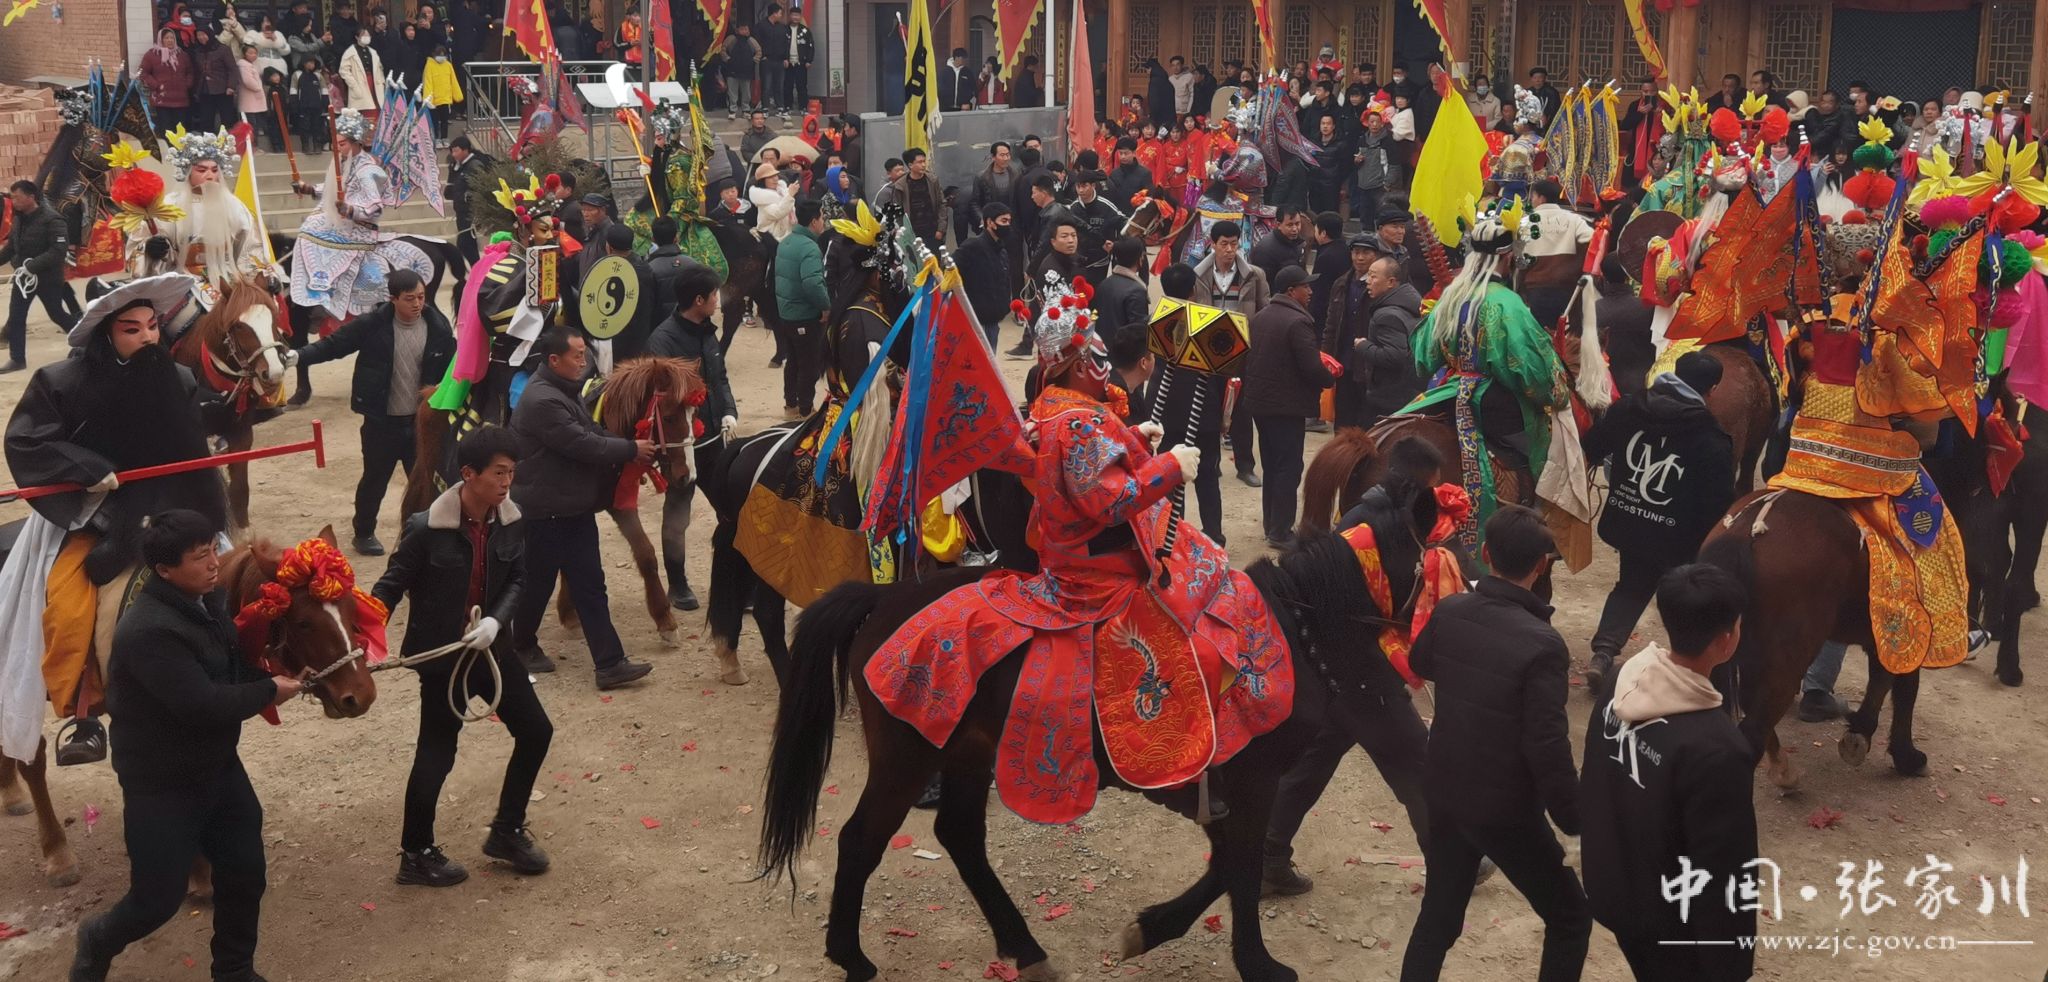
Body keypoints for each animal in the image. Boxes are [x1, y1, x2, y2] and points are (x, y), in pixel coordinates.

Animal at [756, 464, 1427, 982]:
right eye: (1427, 560)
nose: (1416, 658)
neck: (1292, 629)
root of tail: (880, 600)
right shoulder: (1253, 783)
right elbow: (1237, 869)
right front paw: (1258, 963)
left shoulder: (1228, 792)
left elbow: (1225, 866)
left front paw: (1151, 928)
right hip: (907, 754)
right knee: (861, 839)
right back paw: (852, 955)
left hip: (969, 751)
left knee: (960, 835)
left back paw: (1022, 946)